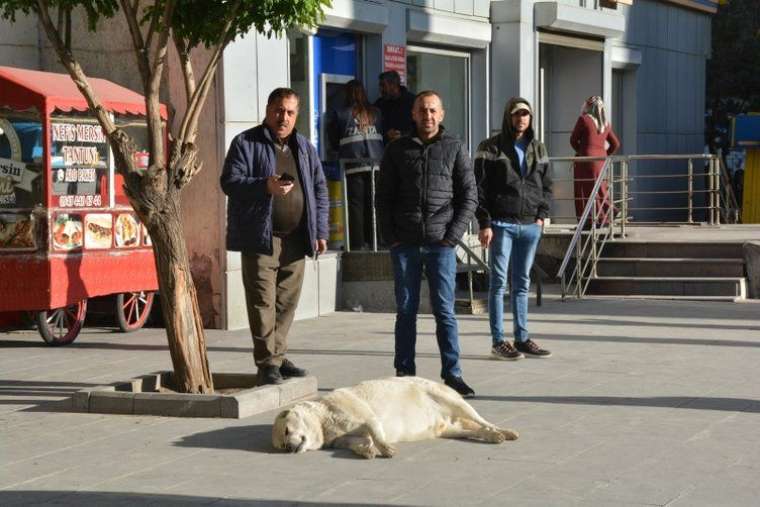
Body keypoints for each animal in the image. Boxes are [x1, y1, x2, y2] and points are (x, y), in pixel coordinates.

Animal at [272, 376, 516, 458]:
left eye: (287, 431)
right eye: (282, 444)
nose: (290, 448)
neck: (324, 421)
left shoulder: (363, 414)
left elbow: (374, 428)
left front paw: (386, 448)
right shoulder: (340, 437)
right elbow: (357, 442)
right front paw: (366, 450)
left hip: (446, 397)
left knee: (481, 419)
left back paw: (503, 431)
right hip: (448, 428)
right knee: (470, 430)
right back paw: (492, 436)